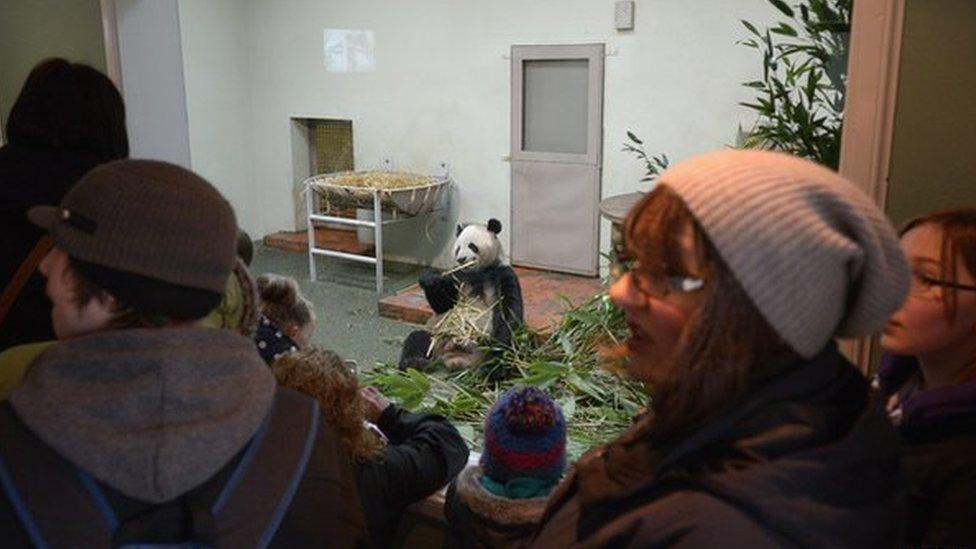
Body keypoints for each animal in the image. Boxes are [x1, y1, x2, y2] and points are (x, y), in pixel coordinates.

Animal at [396, 216, 524, 370]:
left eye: (472, 246)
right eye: (457, 249)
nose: (461, 259)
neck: (477, 272)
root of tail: (456, 360)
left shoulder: (502, 273)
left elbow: (510, 310)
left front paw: (501, 341)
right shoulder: (457, 277)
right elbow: (443, 305)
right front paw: (430, 278)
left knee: (501, 355)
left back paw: (490, 366)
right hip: (437, 337)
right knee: (418, 338)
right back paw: (413, 362)